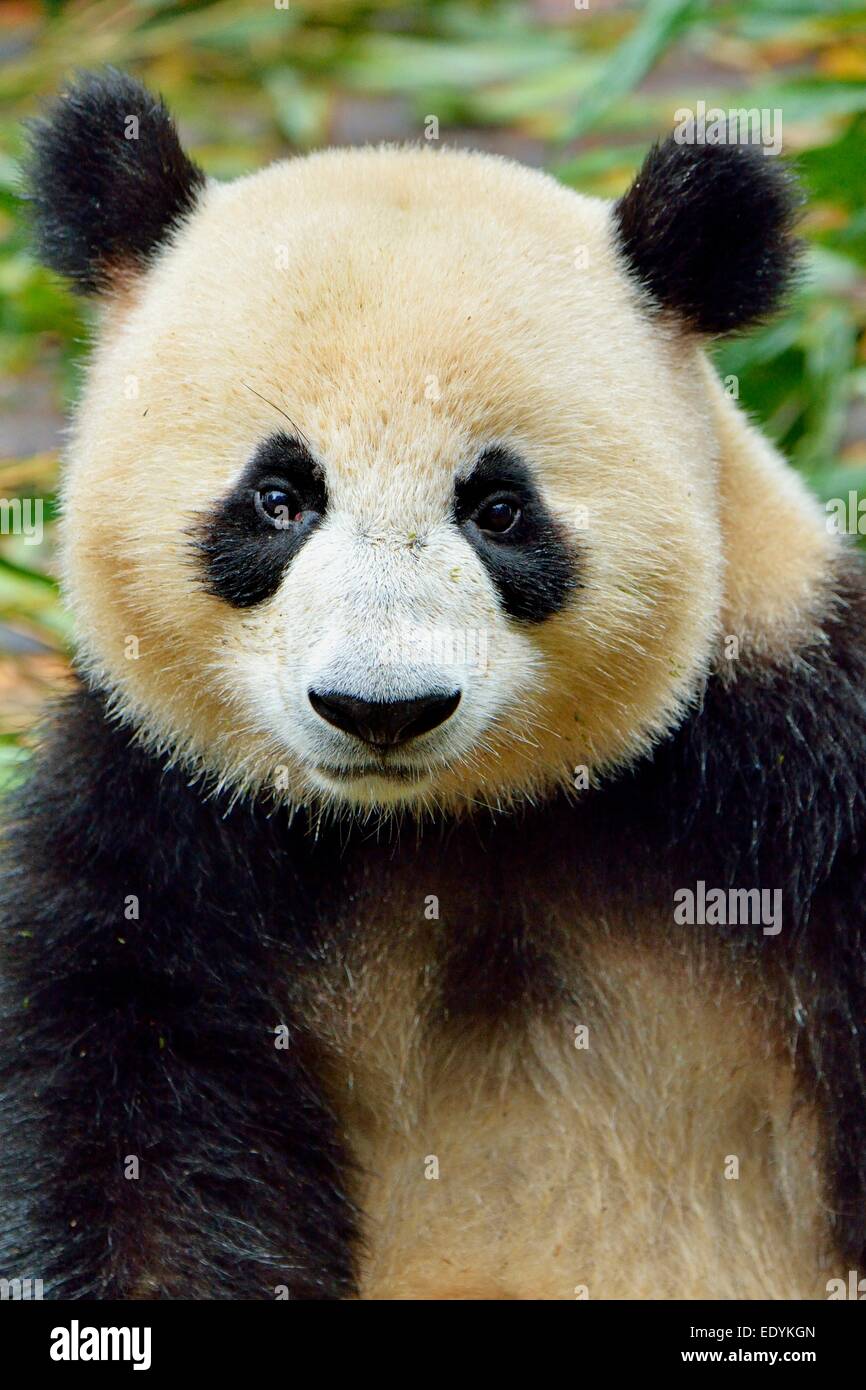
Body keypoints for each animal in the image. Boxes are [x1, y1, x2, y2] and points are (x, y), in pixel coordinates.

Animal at [1, 67, 864, 1302]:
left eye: (498, 509)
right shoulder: (155, 828)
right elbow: (130, 1155)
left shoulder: (796, 767)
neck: (450, 824)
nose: (383, 709)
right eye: (279, 499)